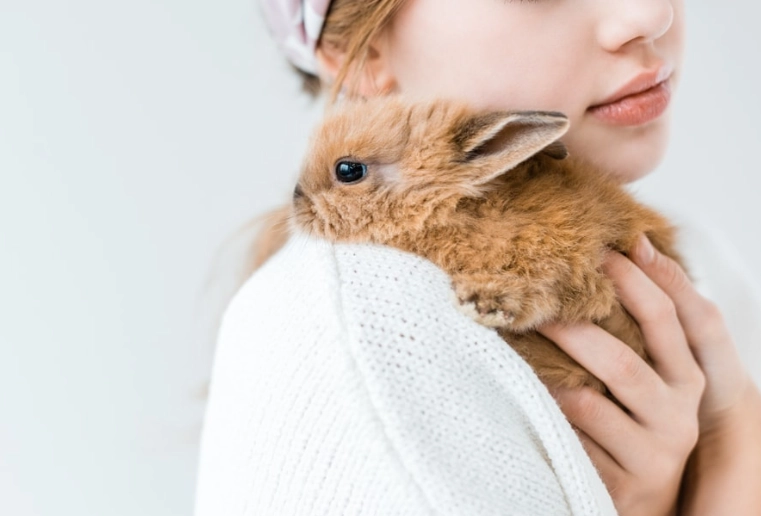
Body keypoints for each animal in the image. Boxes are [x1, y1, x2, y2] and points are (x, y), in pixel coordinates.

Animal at [289, 96, 685, 394]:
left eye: (348, 171)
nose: (296, 199)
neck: (457, 210)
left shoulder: (569, 261)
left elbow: (543, 289)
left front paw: (483, 302)